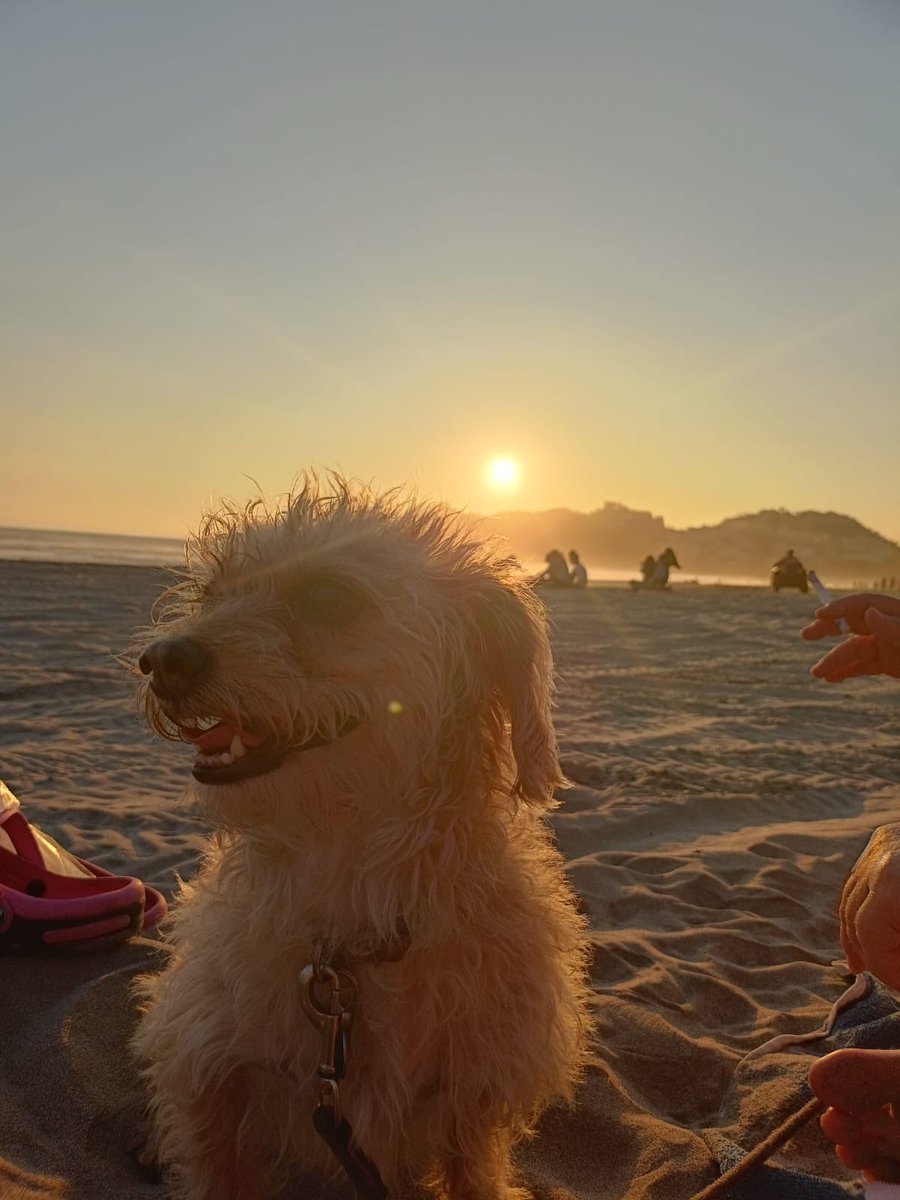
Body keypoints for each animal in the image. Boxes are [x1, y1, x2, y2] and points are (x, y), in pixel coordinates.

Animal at [132, 477, 592, 1200]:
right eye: (212, 591)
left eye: (329, 598)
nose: (162, 659)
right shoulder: (207, 1069)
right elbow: (214, 1165)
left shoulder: (473, 1094)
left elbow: (472, 1172)